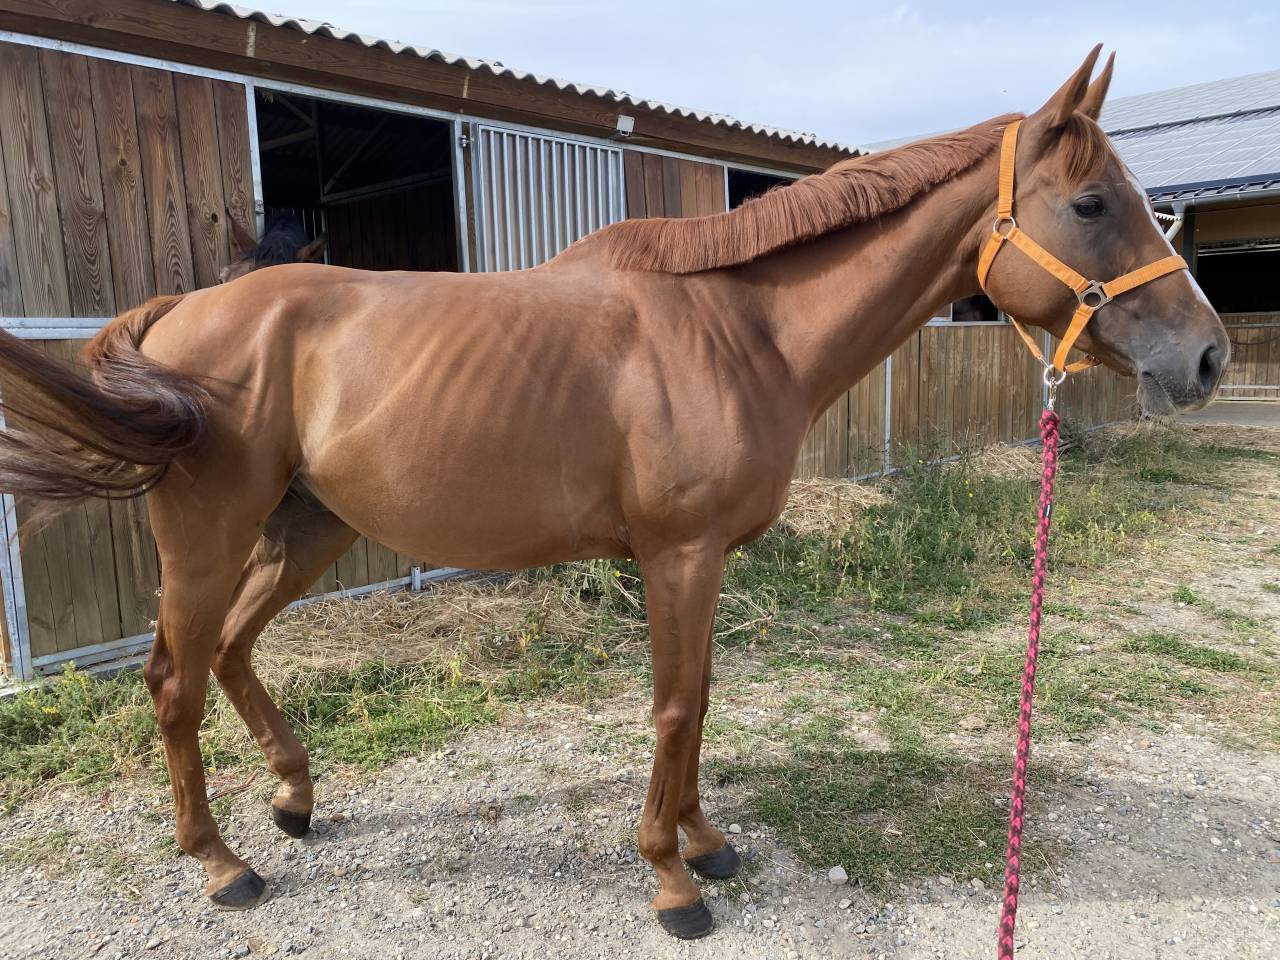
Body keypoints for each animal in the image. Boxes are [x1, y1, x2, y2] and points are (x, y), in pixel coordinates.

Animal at [0, 47, 1227, 939]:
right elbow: (676, 706)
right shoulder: (678, 554)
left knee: (235, 651)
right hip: (208, 537)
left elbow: (702, 698)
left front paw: (705, 840)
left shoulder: (704, 560)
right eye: (1090, 203)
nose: (1208, 358)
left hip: (309, 527)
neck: (741, 332)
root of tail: (182, 312)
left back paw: (295, 802)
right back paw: (221, 864)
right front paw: (672, 881)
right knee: (174, 680)